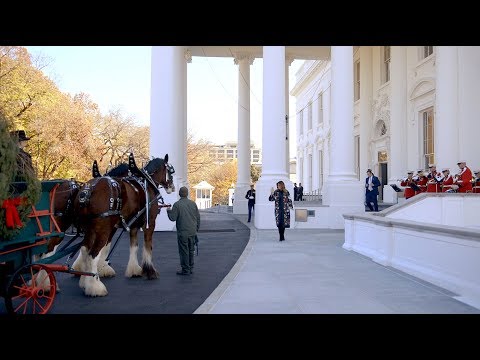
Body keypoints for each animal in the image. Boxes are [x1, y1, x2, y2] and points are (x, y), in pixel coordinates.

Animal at [73, 153, 174, 296]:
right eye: (170, 171)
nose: (172, 186)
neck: (147, 182)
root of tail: (88, 190)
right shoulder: (150, 222)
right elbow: (148, 246)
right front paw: (150, 270)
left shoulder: (133, 225)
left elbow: (133, 246)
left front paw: (134, 270)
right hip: (102, 230)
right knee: (93, 254)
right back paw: (95, 287)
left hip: (90, 229)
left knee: (84, 250)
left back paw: (84, 280)